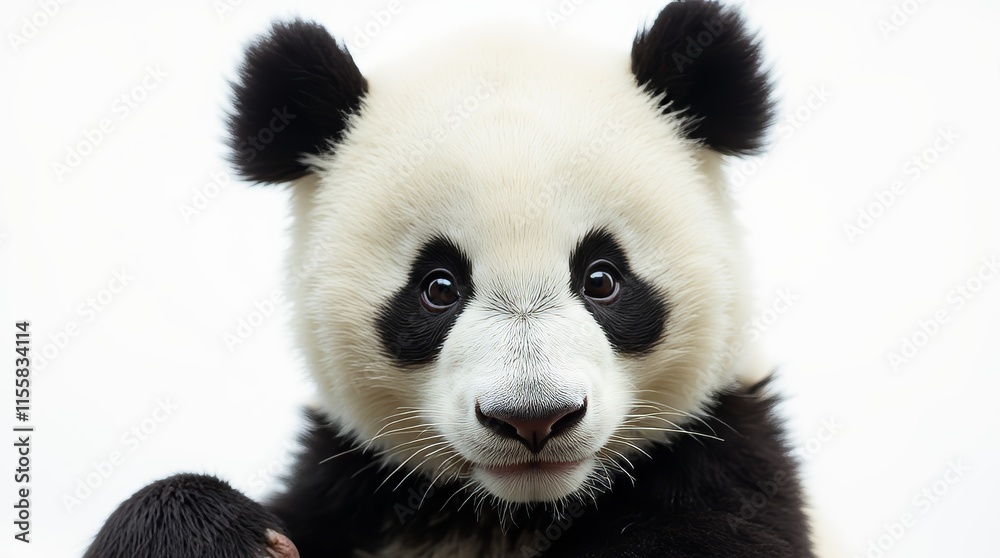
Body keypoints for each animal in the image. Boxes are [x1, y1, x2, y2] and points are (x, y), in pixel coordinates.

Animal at [86, 1, 816, 557]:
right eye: (438, 287)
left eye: (602, 278)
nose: (533, 419)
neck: (507, 512)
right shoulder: (354, 490)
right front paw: (205, 532)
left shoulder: (729, 465)